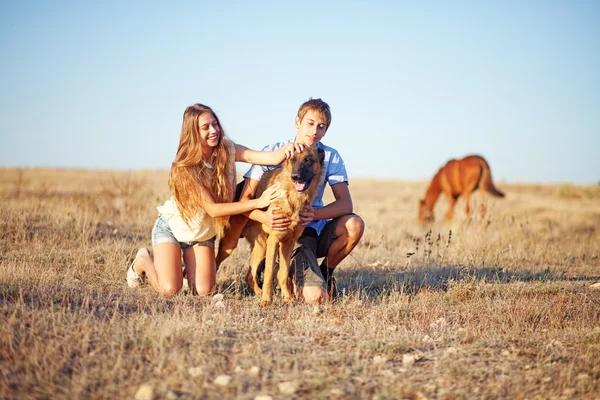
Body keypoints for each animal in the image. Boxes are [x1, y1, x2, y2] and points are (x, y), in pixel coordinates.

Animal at [241, 147, 324, 306]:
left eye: (308, 160)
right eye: (292, 159)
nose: (295, 176)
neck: (294, 197)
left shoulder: (288, 243)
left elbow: (283, 273)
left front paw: (288, 298)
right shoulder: (274, 240)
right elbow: (268, 274)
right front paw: (266, 300)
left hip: (261, 247)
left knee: (250, 275)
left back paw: (258, 293)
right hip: (261, 245)